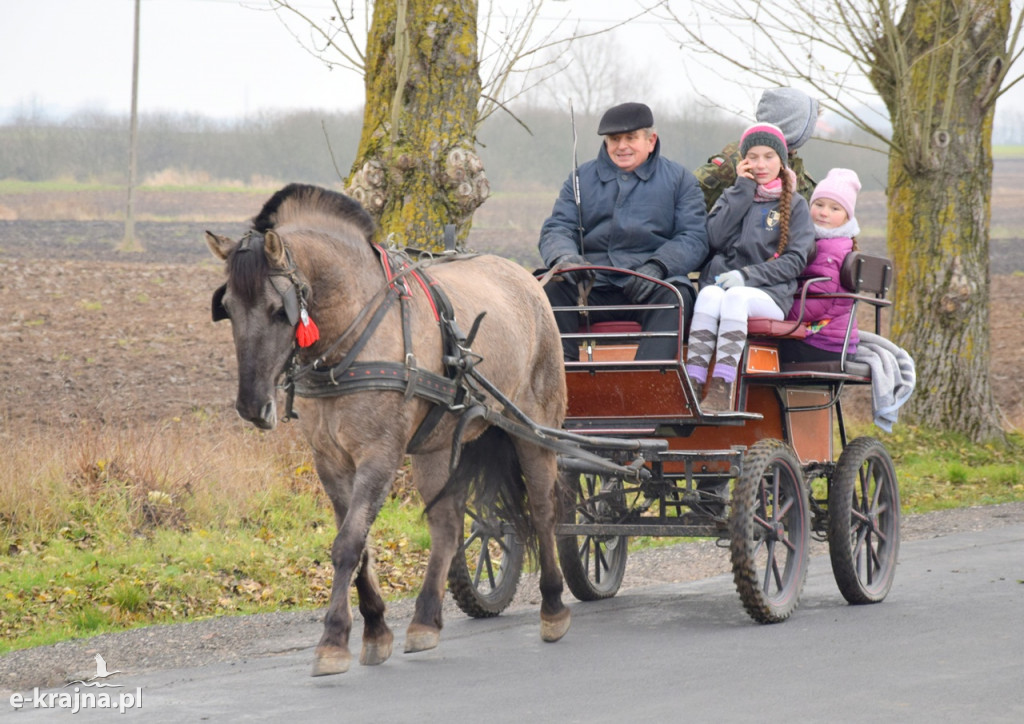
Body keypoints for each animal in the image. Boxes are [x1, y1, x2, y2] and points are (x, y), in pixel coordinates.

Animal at [203, 184, 573, 675]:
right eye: (226, 309)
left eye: (278, 310)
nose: (250, 406)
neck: (349, 339)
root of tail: (527, 279)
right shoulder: (331, 461)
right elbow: (359, 546)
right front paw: (376, 630)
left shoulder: (379, 455)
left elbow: (348, 544)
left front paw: (332, 640)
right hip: (438, 446)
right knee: (447, 526)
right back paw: (425, 620)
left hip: (535, 428)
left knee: (544, 510)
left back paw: (553, 608)